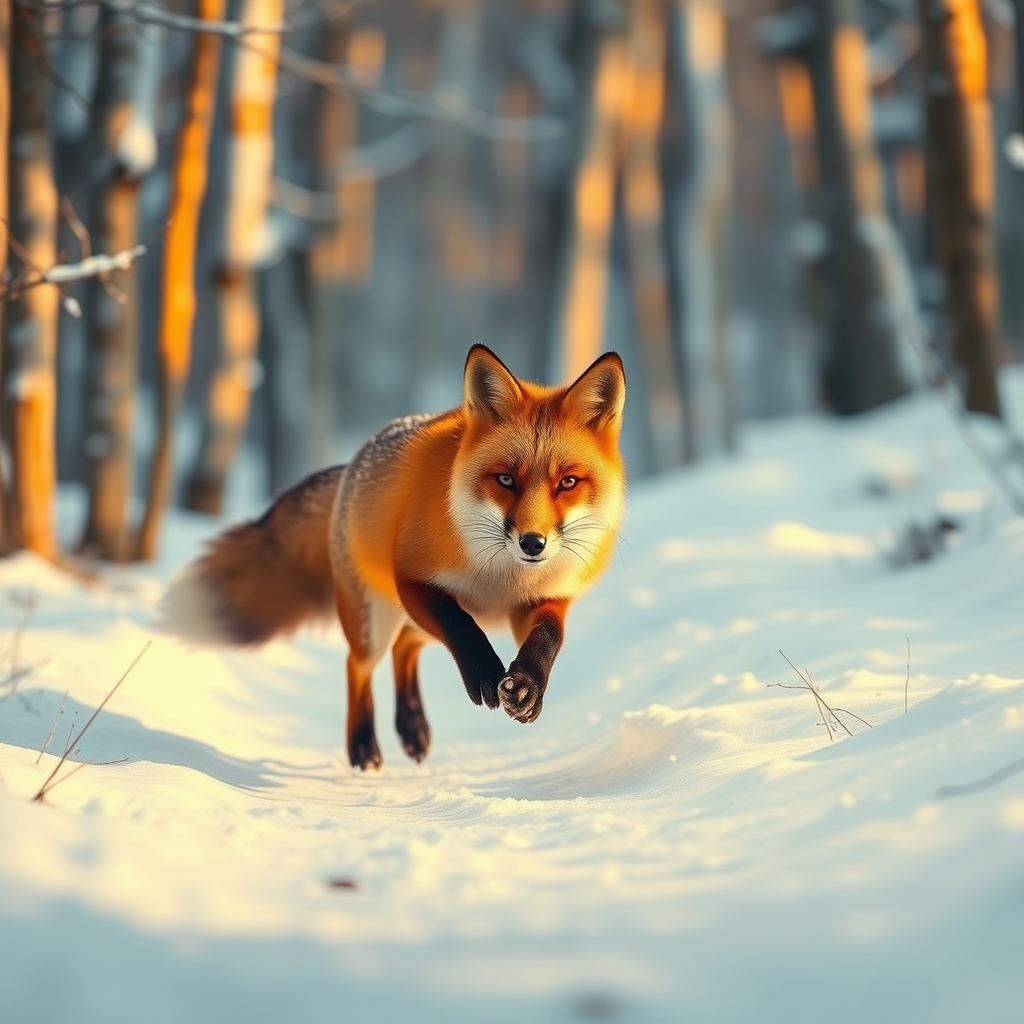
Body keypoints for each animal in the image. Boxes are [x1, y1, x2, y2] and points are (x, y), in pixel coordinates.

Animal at [164, 345, 626, 770]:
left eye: (567, 483)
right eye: (506, 480)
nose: (532, 543)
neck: (502, 577)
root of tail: (351, 466)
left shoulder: (543, 600)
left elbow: (548, 639)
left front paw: (527, 687)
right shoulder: (413, 580)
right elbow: (461, 628)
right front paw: (484, 673)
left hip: (421, 619)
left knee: (405, 647)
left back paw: (413, 728)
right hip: (377, 619)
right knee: (359, 665)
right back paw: (363, 746)